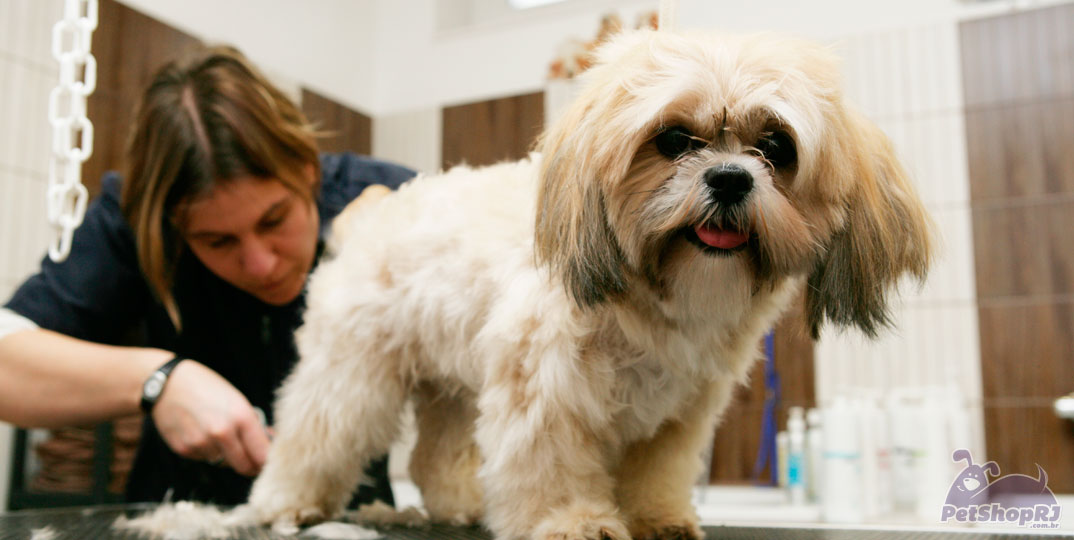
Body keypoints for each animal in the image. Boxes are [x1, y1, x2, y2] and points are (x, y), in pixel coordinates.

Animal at [247, 28, 936, 540]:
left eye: (776, 145)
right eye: (674, 139)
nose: (730, 178)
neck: (662, 303)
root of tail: (371, 216)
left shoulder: (680, 411)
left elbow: (656, 469)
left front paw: (657, 517)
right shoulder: (545, 382)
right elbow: (549, 461)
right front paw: (571, 521)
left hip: (452, 383)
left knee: (432, 454)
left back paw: (455, 503)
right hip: (352, 373)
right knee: (315, 433)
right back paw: (283, 503)